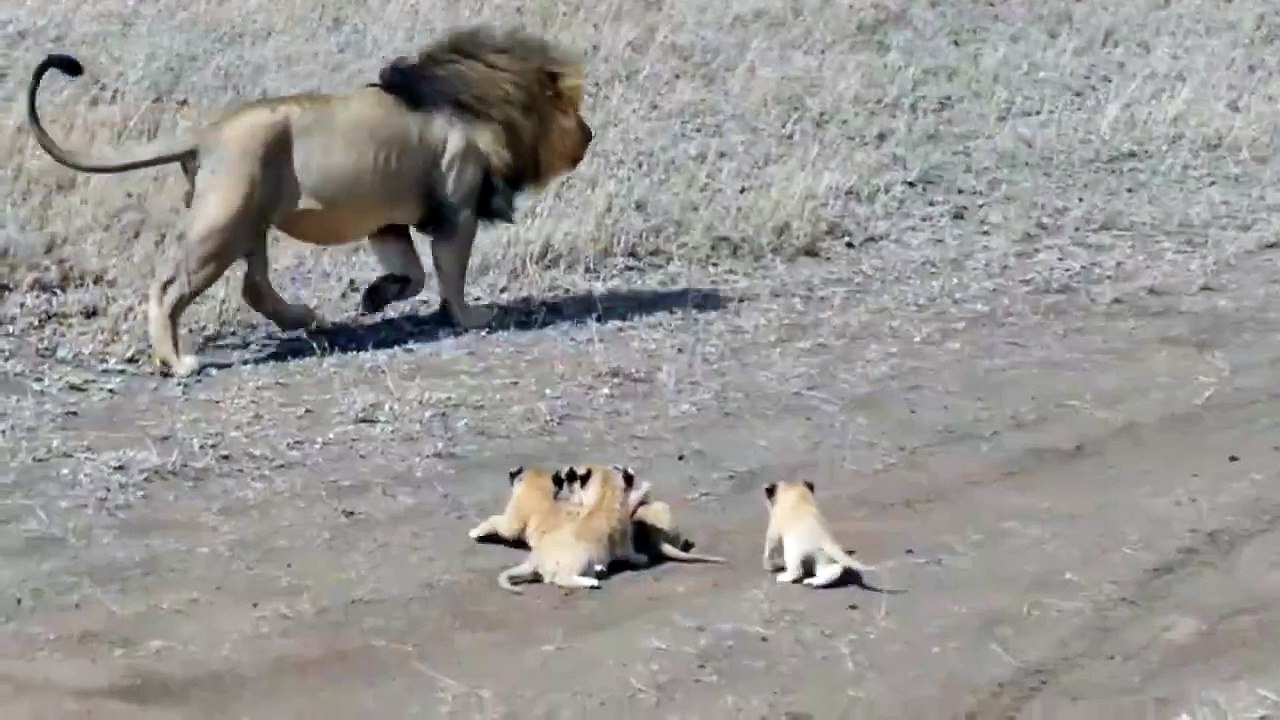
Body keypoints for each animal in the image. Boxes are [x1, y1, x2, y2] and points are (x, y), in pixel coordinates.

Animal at [24, 25, 593, 377]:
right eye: (572, 107)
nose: (589, 136)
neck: (483, 103)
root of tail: (207, 135)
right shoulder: (457, 212)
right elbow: (450, 275)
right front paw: (471, 318)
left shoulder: (388, 222)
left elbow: (411, 274)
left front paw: (375, 296)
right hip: (222, 225)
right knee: (169, 288)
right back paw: (177, 362)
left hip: (248, 221)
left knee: (253, 286)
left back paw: (303, 318)